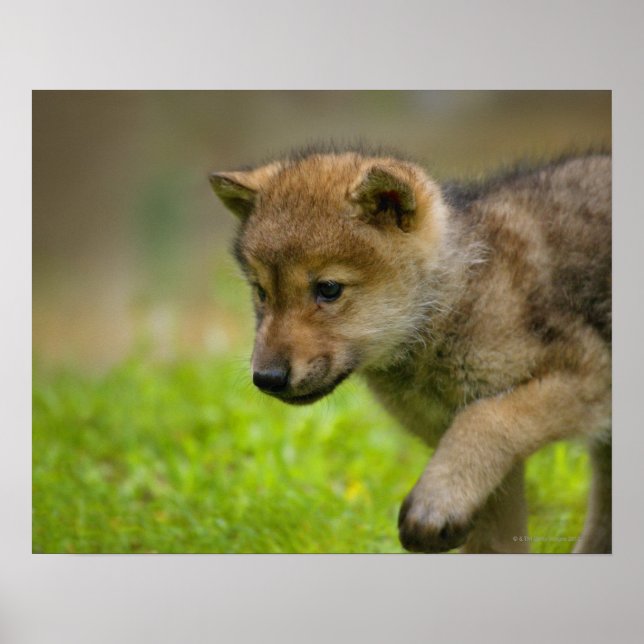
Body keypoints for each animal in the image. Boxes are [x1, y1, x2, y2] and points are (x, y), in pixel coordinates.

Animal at [210, 145, 611, 553]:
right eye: (261, 292)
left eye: (329, 289)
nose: (266, 378)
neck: (456, 300)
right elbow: (495, 539)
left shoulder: (589, 374)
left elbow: (487, 418)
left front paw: (434, 503)